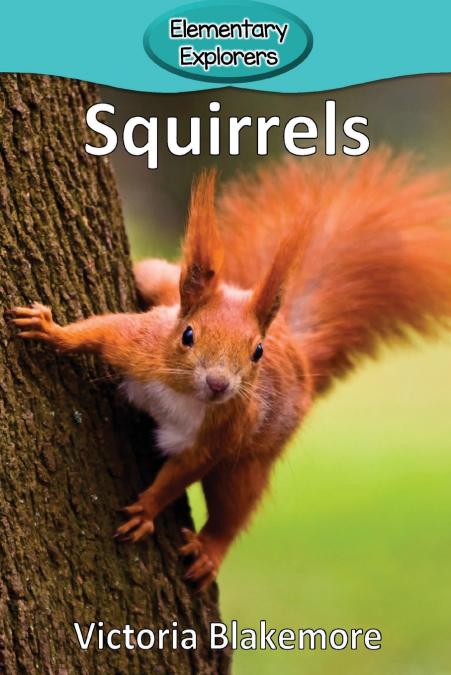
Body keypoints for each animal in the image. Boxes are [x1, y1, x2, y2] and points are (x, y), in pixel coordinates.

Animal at [7, 149, 451, 590]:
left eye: (257, 352)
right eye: (187, 335)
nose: (219, 384)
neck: (183, 393)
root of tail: (297, 350)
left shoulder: (224, 431)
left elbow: (182, 473)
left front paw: (147, 510)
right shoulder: (140, 346)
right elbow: (98, 332)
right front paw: (50, 330)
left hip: (251, 459)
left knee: (233, 506)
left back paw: (210, 550)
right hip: (162, 285)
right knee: (154, 275)